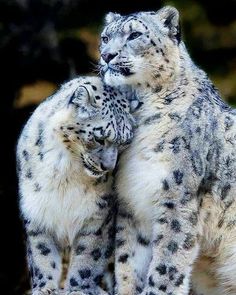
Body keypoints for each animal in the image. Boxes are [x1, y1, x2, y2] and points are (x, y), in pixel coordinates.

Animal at [16, 77, 136, 295]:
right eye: (99, 138)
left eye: (124, 142)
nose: (108, 166)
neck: (65, 170)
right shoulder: (35, 209)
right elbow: (41, 253)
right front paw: (44, 287)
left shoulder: (98, 214)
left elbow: (88, 254)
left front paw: (79, 288)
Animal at [99, 4, 236, 295]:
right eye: (105, 37)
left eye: (135, 35)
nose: (107, 55)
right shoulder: (132, 207)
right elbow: (127, 265)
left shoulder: (177, 200)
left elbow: (165, 267)